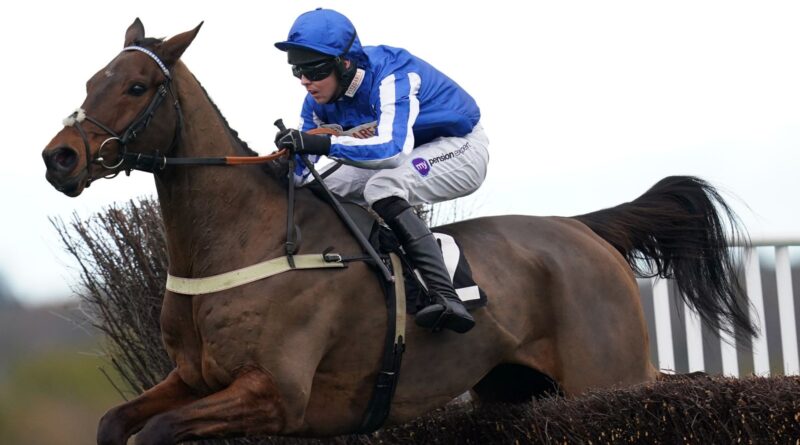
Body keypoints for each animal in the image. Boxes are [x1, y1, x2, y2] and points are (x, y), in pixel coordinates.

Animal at [42, 19, 756, 442]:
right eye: (91, 80)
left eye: (137, 87)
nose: (60, 158)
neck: (245, 241)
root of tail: (582, 228)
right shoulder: (193, 379)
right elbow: (114, 422)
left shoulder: (275, 393)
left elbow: (156, 432)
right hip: (514, 390)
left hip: (607, 378)